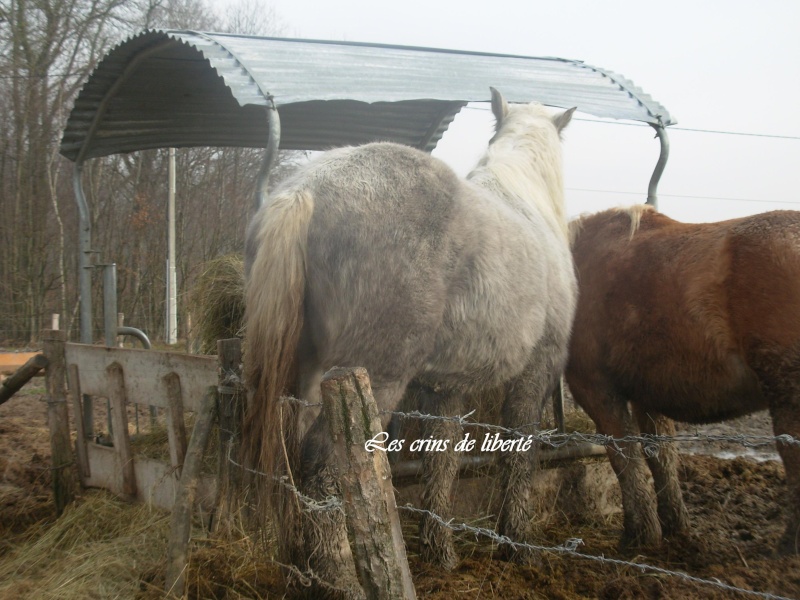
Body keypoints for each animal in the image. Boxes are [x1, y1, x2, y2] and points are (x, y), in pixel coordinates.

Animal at [242, 86, 576, 596]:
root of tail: (306, 192)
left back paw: (302, 568)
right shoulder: (536, 372)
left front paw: (440, 550)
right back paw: (340, 578)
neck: (528, 202)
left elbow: (443, 460)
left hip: (304, 377)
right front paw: (516, 543)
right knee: (320, 468)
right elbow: (521, 452)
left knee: (289, 457)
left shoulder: (446, 389)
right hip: (372, 382)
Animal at [564, 205, 800, 552]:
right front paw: (674, 526)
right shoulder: (647, 395)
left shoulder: (597, 390)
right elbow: (661, 458)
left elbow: (625, 458)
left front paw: (639, 534)